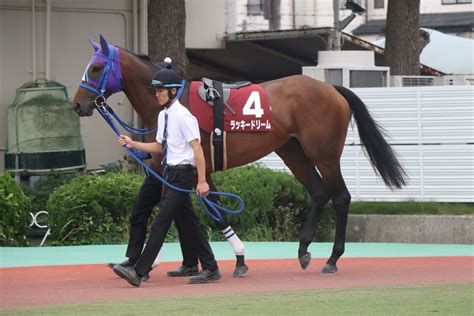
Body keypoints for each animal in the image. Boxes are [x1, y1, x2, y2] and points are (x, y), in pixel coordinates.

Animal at [74, 35, 408, 276]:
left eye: (96, 68)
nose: (78, 104)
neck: (171, 102)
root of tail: (332, 89)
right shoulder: (185, 172)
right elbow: (195, 212)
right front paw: (201, 262)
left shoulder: (192, 170)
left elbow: (192, 212)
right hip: (293, 152)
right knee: (318, 193)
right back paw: (303, 251)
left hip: (324, 155)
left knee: (340, 197)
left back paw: (333, 259)